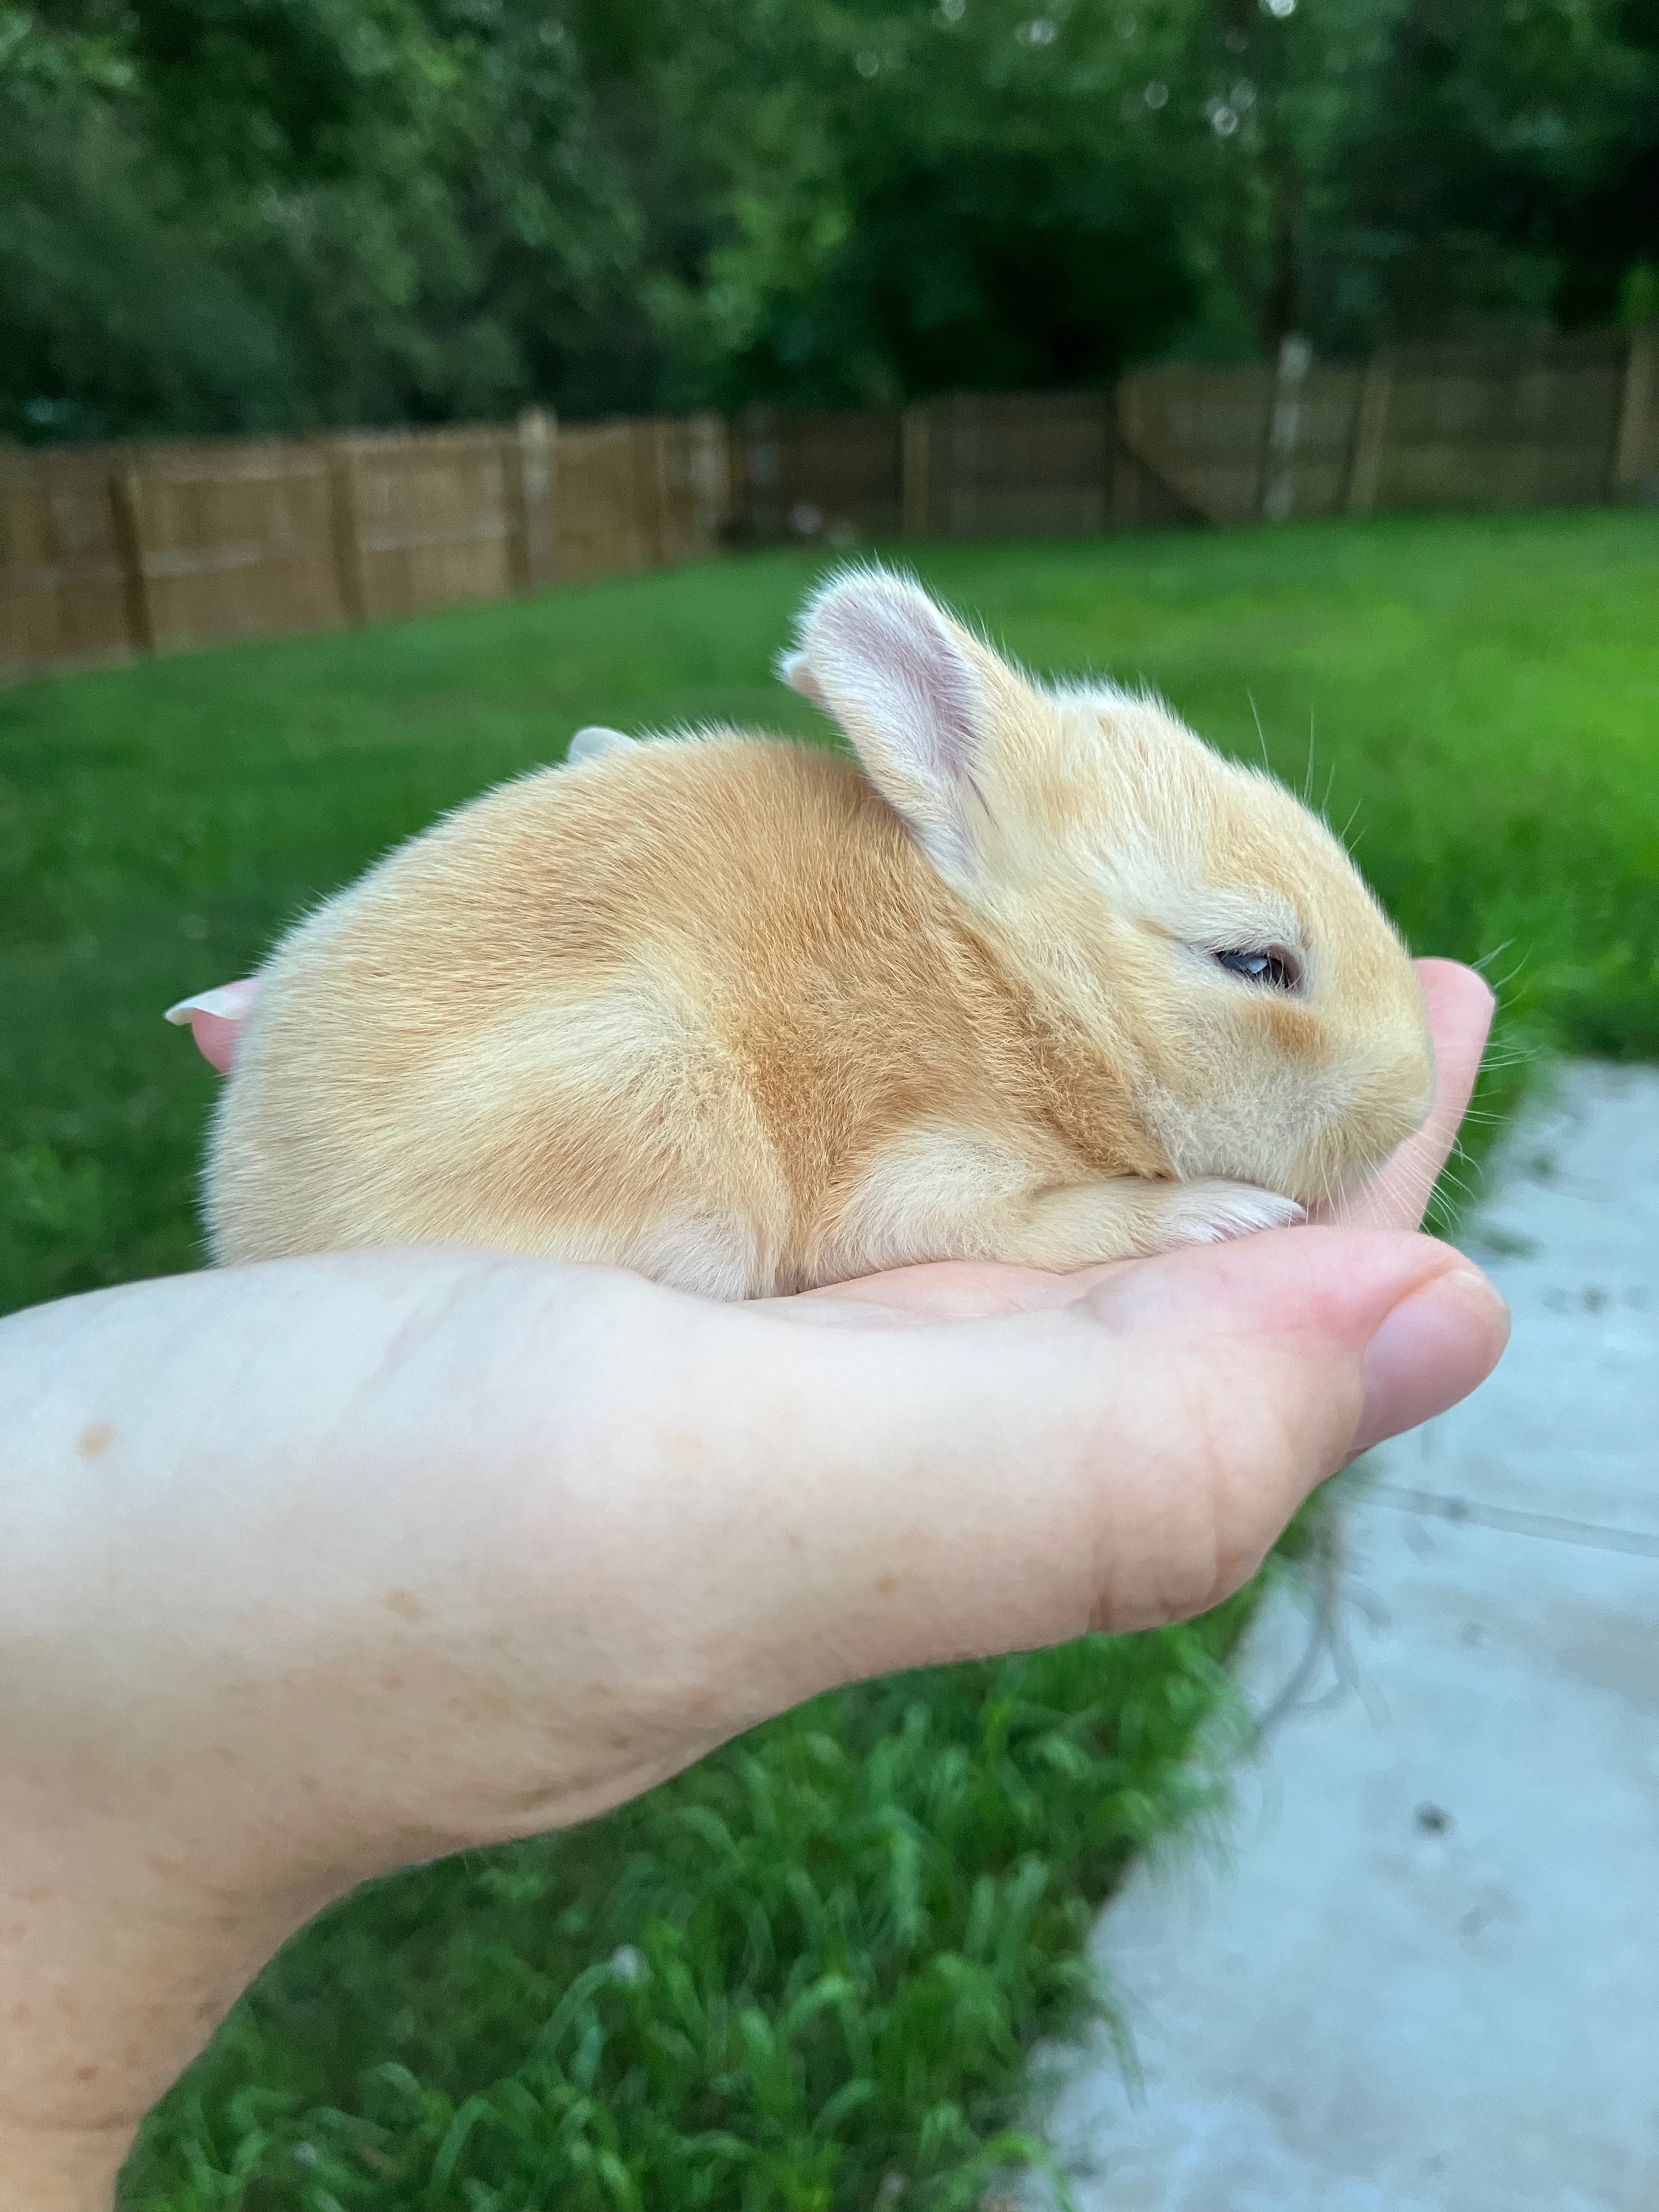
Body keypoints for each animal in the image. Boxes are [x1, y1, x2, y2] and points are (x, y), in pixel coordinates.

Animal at [202, 565, 1434, 1297]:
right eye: (1255, 962)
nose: (1418, 1098)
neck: (1005, 983)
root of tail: (245, 1226)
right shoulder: (916, 1172)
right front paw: (1215, 1214)